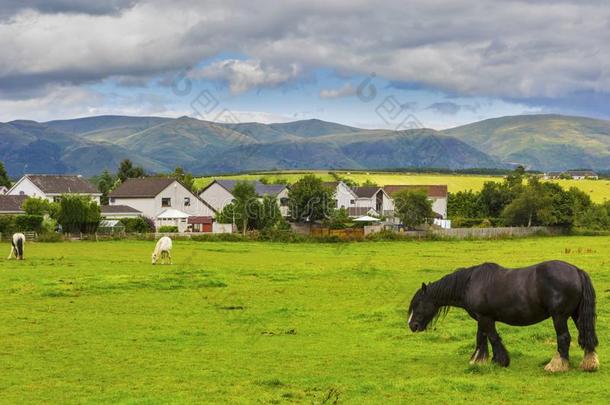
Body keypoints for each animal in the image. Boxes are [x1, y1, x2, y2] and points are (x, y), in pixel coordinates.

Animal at [406, 260, 596, 370]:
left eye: (418, 303)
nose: (412, 325)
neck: (470, 283)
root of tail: (576, 271)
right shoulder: (481, 318)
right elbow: (481, 338)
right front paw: (479, 360)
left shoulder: (486, 318)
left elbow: (492, 337)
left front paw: (501, 361)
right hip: (576, 315)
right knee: (586, 335)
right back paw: (589, 363)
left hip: (559, 316)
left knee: (564, 338)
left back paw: (557, 365)